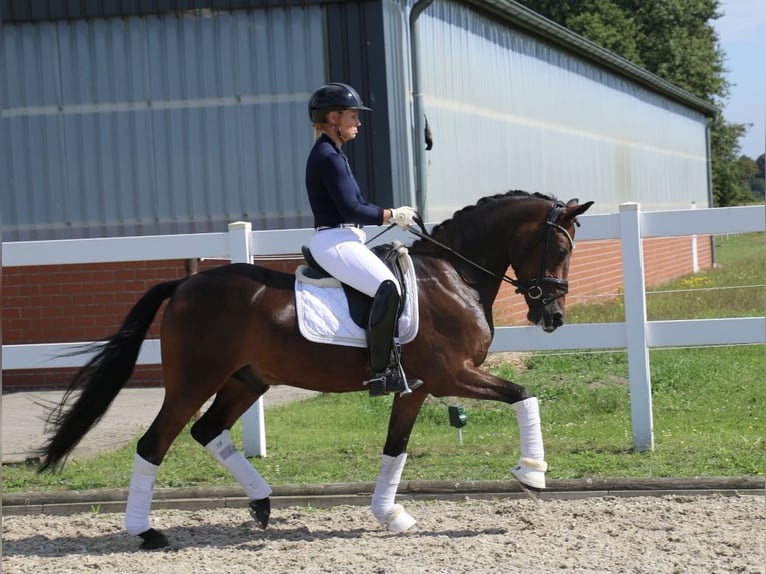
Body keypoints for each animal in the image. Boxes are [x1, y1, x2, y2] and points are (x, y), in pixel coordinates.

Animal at [39, 189, 596, 548]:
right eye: (560, 247)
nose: (552, 317)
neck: (453, 275)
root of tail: (184, 285)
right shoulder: (450, 375)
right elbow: (525, 393)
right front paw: (532, 473)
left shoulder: (414, 387)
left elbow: (396, 447)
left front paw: (390, 515)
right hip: (193, 381)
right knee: (155, 443)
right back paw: (147, 532)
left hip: (246, 380)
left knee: (207, 430)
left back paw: (262, 502)